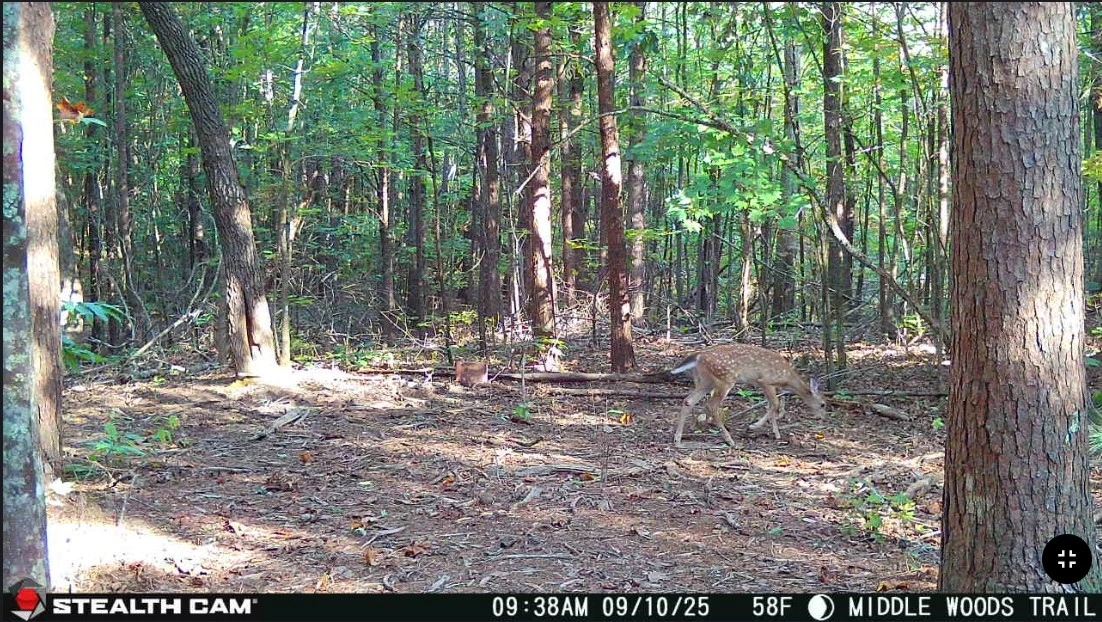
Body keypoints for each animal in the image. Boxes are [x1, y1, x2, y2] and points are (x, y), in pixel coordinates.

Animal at [669, 343, 826, 447]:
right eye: (823, 404)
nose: (822, 417)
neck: (788, 379)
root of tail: (698, 356)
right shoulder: (766, 381)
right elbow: (774, 404)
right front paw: (754, 426)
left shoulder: (765, 384)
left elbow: (771, 405)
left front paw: (776, 433)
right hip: (725, 378)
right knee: (712, 405)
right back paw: (730, 440)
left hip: (705, 381)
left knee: (688, 401)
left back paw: (678, 440)